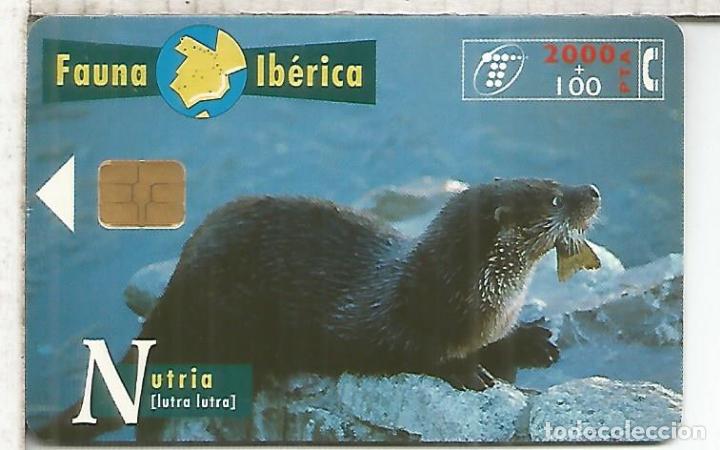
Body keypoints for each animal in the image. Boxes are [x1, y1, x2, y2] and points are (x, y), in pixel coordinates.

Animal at [37, 178, 601, 443]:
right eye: (555, 200)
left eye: (560, 183)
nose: (592, 191)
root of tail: (176, 287)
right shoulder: (399, 321)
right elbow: (416, 352)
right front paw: (466, 370)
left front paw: (532, 339)